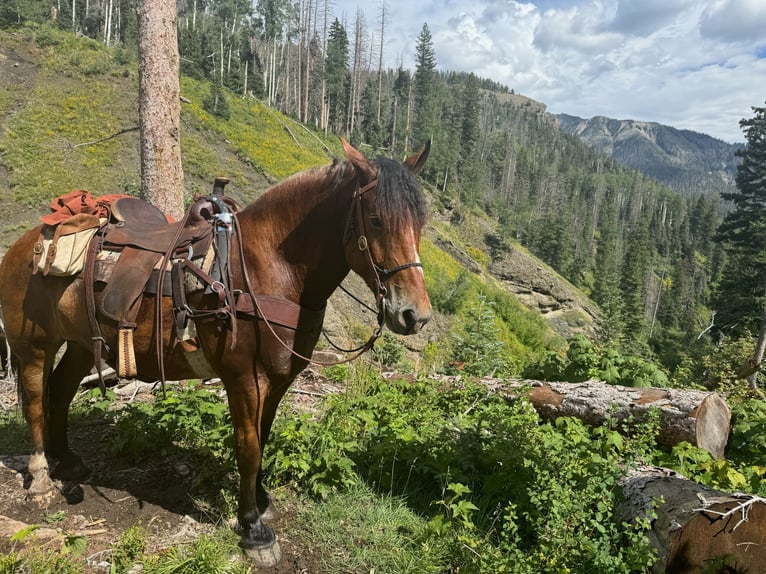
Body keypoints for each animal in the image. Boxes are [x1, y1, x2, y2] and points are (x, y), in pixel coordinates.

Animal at [0, 140, 432, 568]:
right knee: (36, 402)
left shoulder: (278, 379)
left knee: (61, 390)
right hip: (35, 346)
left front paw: (260, 501)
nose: (415, 315)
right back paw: (41, 479)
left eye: (421, 224)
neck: (266, 267)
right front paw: (253, 528)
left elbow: (264, 437)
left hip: (79, 343)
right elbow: (249, 447)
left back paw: (67, 459)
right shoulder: (243, 378)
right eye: (375, 220)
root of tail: (24, 244)